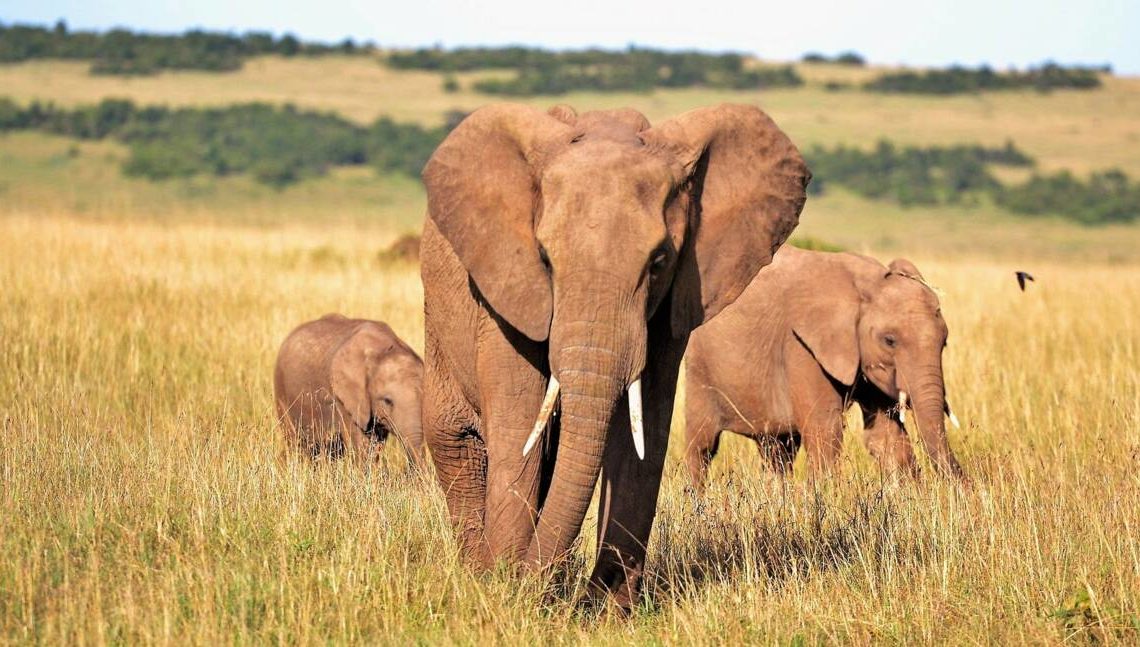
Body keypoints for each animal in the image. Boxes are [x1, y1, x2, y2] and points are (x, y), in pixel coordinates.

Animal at [274, 314, 425, 468]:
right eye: (387, 401)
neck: (381, 350)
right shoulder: (343, 398)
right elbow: (362, 443)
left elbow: (376, 443)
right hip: (281, 391)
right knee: (295, 442)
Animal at [419, 102, 810, 608]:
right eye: (544, 259)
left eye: (659, 261)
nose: (530, 583)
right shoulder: (505, 290)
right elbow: (520, 424)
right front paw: (507, 590)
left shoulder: (673, 303)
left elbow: (643, 433)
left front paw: (606, 609)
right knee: (458, 442)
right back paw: (479, 574)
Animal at [684, 247, 965, 489]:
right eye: (889, 340)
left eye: (944, 341)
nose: (964, 486)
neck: (867, 284)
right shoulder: (801, 345)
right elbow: (825, 430)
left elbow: (885, 435)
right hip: (700, 366)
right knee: (702, 445)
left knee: (778, 450)